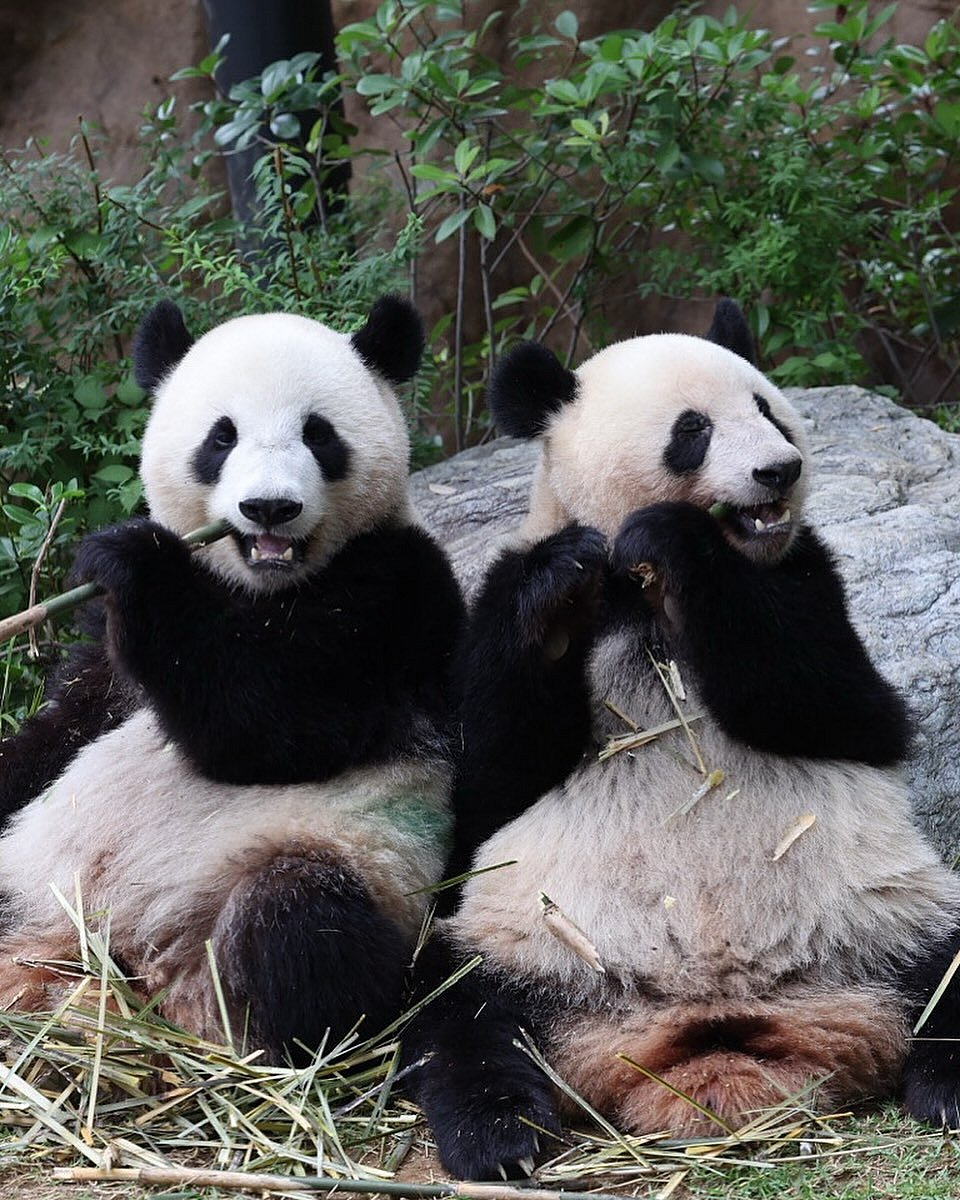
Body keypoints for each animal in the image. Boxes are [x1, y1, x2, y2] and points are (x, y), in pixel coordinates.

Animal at [0, 296, 464, 1060]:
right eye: (222, 437)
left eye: (319, 435)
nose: (269, 507)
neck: (257, 586)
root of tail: (136, 962)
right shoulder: (108, 656)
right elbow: (66, 725)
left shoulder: (393, 591)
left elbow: (277, 726)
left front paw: (138, 559)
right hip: (29, 877)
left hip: (351, 861)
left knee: (300, 926)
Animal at [403, 300, 960, 1179]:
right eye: (692, 430)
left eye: (767, 407)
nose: (780, 470)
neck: (642, 597)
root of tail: (712, 1031)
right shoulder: (495, 603)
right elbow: (494, 770)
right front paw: (560, 582)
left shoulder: (807, 574)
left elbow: (839, 705)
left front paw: (676, 539)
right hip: (528, 939)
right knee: (457, 1010)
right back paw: (497, 1132)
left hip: (893, 914)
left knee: (948, 971)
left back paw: (947, 1087)